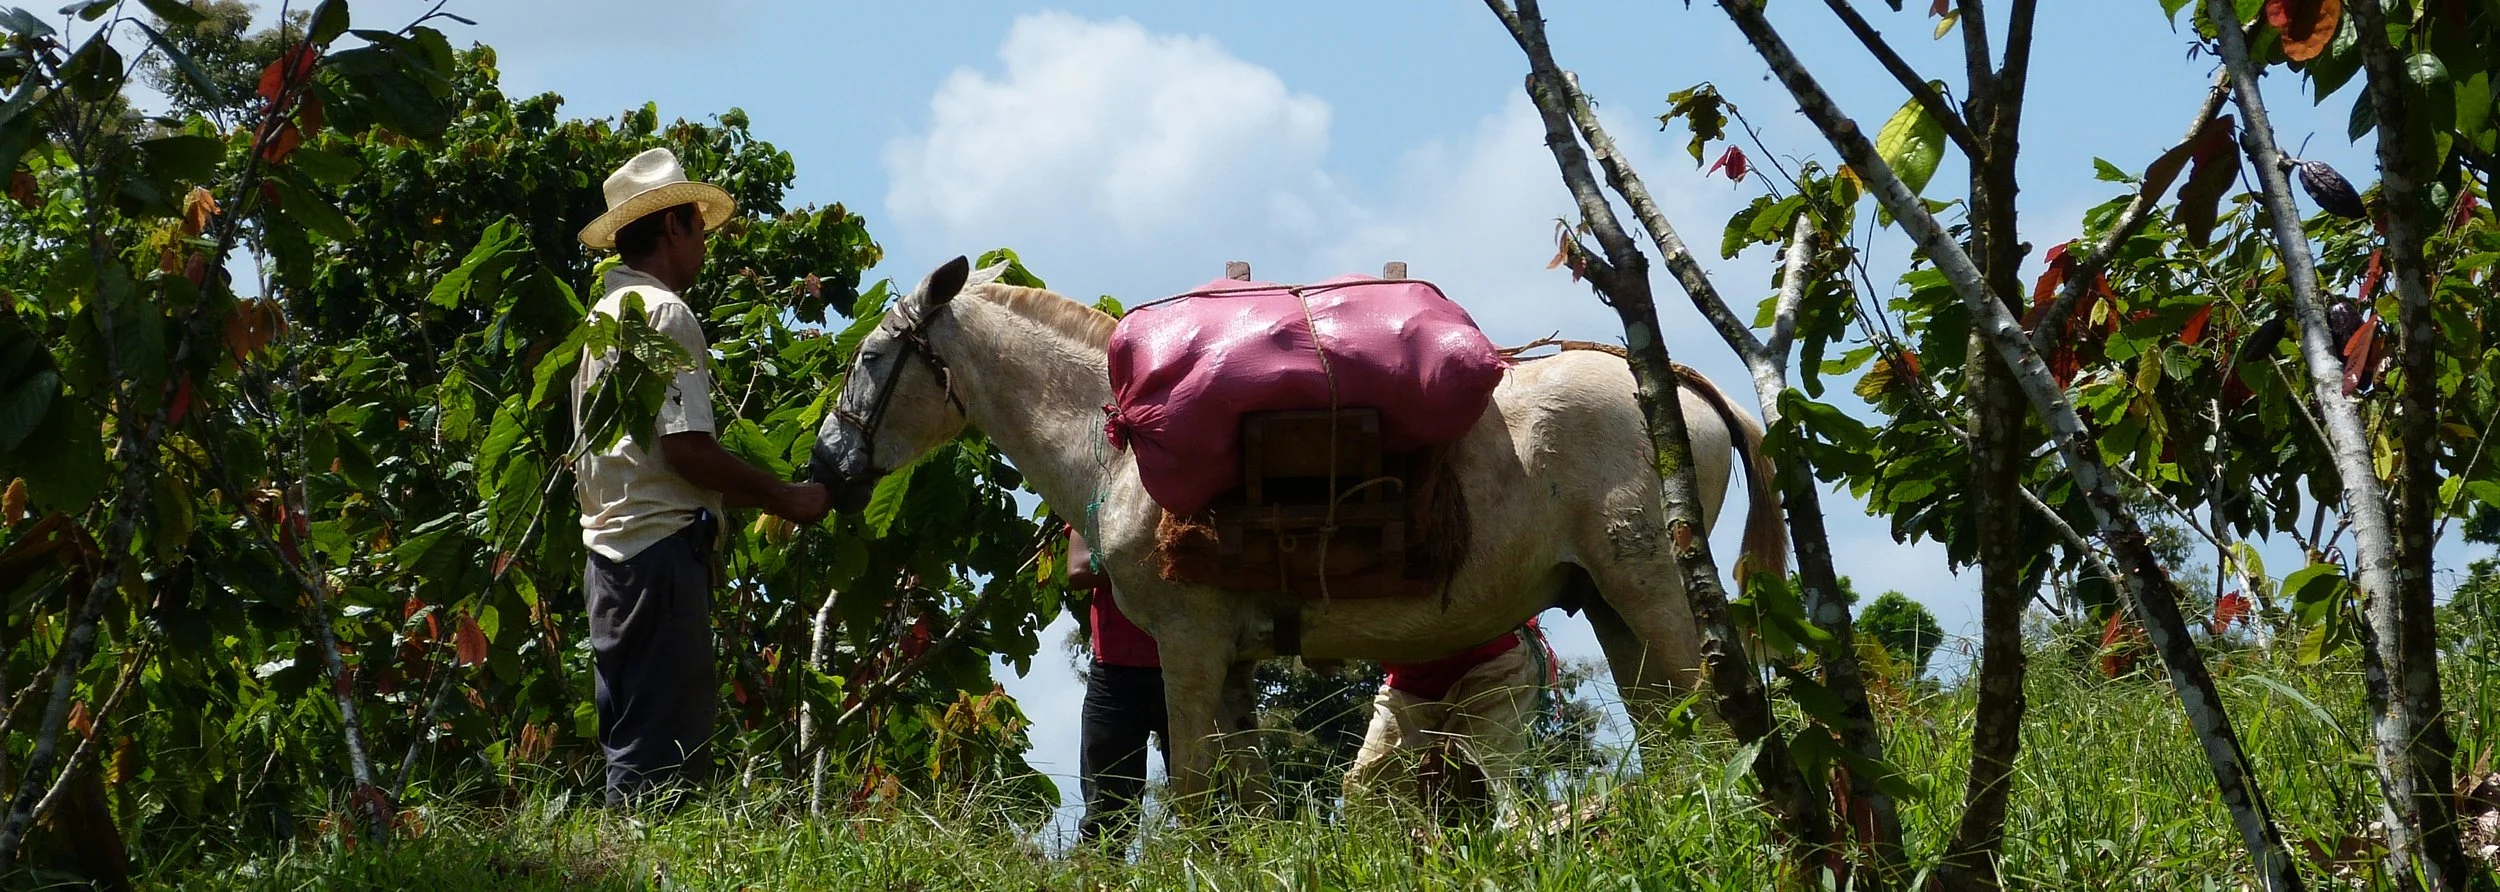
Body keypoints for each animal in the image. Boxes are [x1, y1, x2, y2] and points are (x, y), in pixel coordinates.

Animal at [812, 256, 1786, 812]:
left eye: (870, 359)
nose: (826, 464)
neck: (1119, 438)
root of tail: (1684, 389)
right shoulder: (1231, 659)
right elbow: (1242, 798)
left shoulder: (1189, 642)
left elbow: (1193, 792)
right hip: (1614, 606)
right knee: (1675, 732)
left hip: (1655, 593)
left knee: (1718, 727)